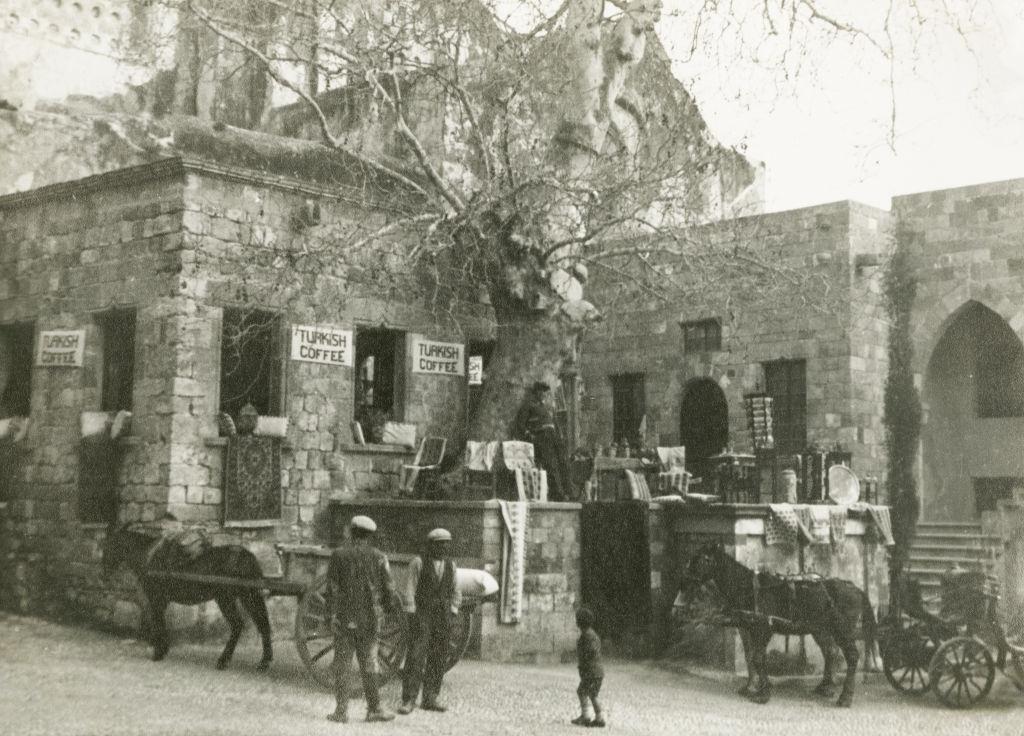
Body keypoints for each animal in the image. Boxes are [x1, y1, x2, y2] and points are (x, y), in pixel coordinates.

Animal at [101, 524, 274, 675]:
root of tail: (246, 555)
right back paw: (264, 661)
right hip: (247, 596)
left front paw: (158, 652)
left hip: (226, 598)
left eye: (108, 547)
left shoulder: (156, 599)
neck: (149, 556)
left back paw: (223, 660)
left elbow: (158, 623)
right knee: (262, 624)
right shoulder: (161, 601)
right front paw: (163, 649)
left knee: (238, 625)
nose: (104, 574)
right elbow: (161, 622)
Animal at [684, 540, 876, 708]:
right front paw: (751, 687)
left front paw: (763, 693)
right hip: (820, 629)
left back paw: (845, 697)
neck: (747, 588)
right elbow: (750, 658)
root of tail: (857, 589)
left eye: (704, 559)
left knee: (851, 656)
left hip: (842, 630)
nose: (686, 580)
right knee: (830, 652)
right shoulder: (747, 628)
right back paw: (825, 687)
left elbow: (758, 659)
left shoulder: (763, 629)